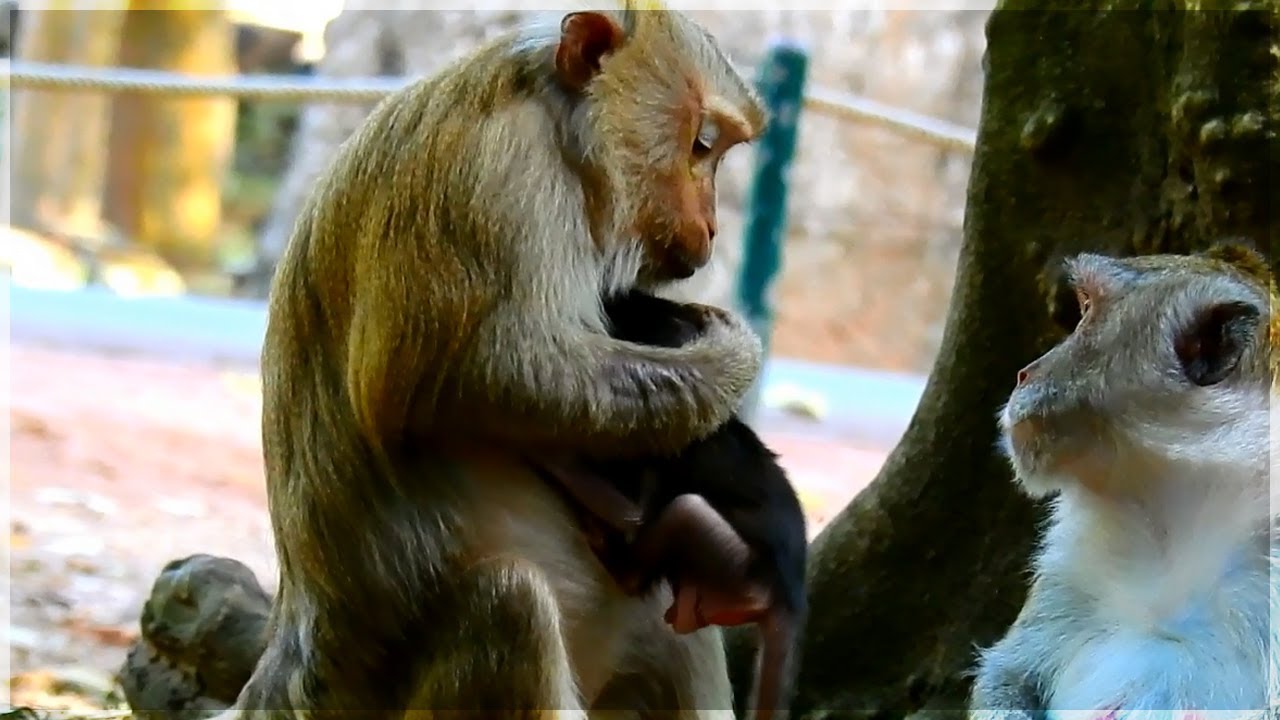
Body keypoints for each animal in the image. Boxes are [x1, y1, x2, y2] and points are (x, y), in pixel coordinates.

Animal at [208, 4, 770, 720]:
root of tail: (295, 673)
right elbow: (493, 376)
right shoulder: (498, 178)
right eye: (702, 144)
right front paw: (731, 355)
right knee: (512, 606)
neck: (560, 133)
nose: (712, 230)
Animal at [533, 289, 808, 720]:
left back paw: (622, 564)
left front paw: (546, 451)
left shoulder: (649, 450)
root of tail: (790, 592)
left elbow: (634, 513)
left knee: (683, 514)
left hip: (740, 572)